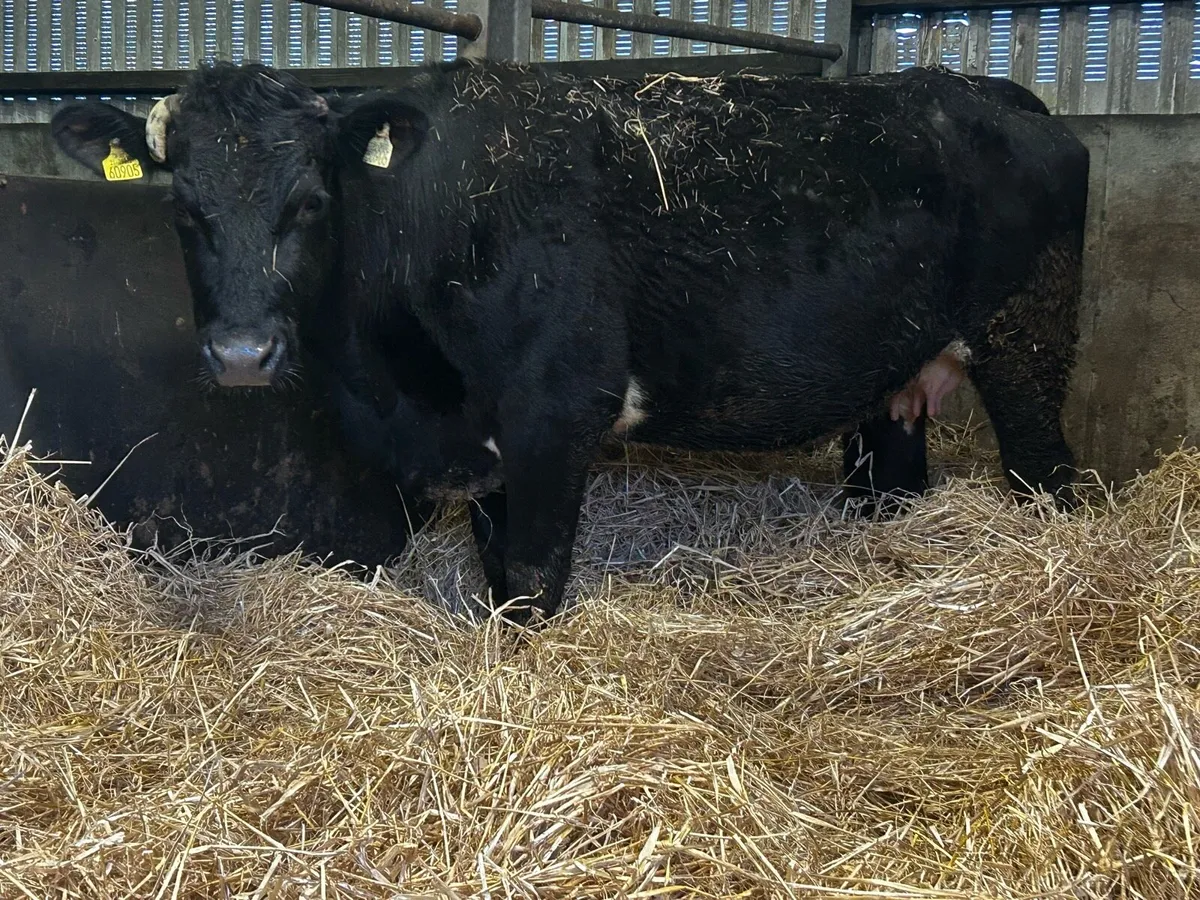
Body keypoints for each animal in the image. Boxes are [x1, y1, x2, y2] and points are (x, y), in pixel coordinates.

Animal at [50, 60, 1088, 625]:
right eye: (183, 209)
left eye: (309, 201)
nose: (241, 357)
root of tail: (992, 94)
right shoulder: (488, 442)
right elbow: (498, 575)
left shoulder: (558, 412)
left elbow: (534, 581)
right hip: (895, 376)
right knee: (896, 482)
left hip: (1027, 346)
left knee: (1049, 481)